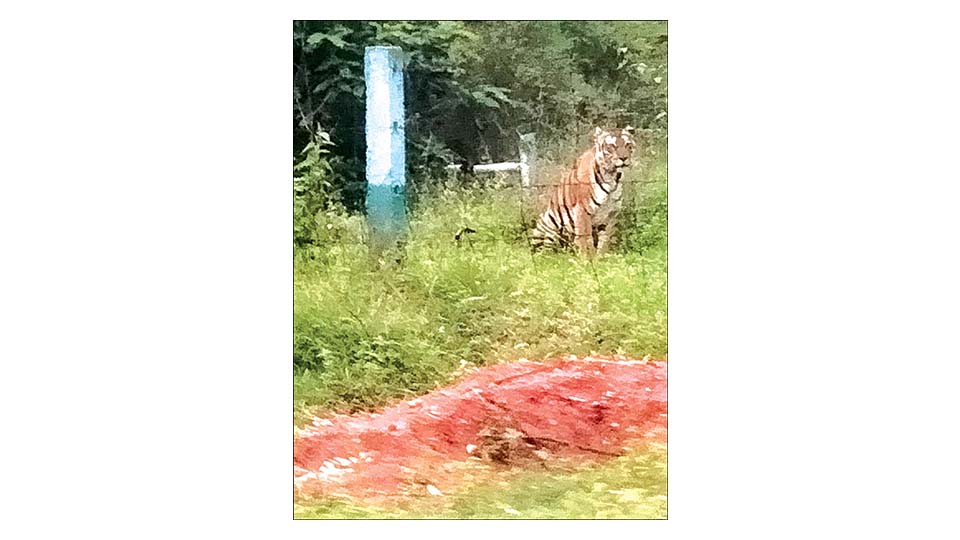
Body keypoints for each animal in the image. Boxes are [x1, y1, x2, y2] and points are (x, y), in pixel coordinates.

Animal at [530, 126, 637, 255]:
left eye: (628, 145)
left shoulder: (610, 214)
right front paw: (588, 258)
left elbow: (605, 239)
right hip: (547, 222)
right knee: (544, 249)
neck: (612, 176)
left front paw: (602, 257)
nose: (624, 158)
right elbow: (585, 238)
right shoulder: (582, 210)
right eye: (611, 147)